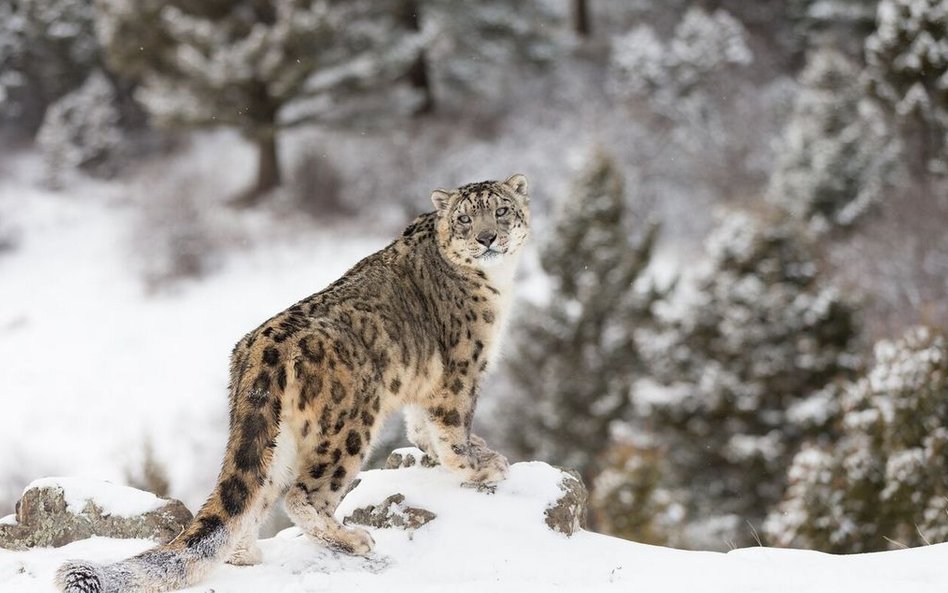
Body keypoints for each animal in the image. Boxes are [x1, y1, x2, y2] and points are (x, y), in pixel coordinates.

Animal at [57, 173, 532, 588]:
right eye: (465, 218)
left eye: (501, 211)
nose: (487, 238)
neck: (497, 285)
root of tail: (259, 349)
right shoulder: (462, 372)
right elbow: (452, 431)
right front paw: (481, 467)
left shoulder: (426, 385)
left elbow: (421, 428)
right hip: (350, 425)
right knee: (304, 495)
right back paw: (353, 539)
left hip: (275, 439)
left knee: (255, 496)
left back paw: (248, 554)